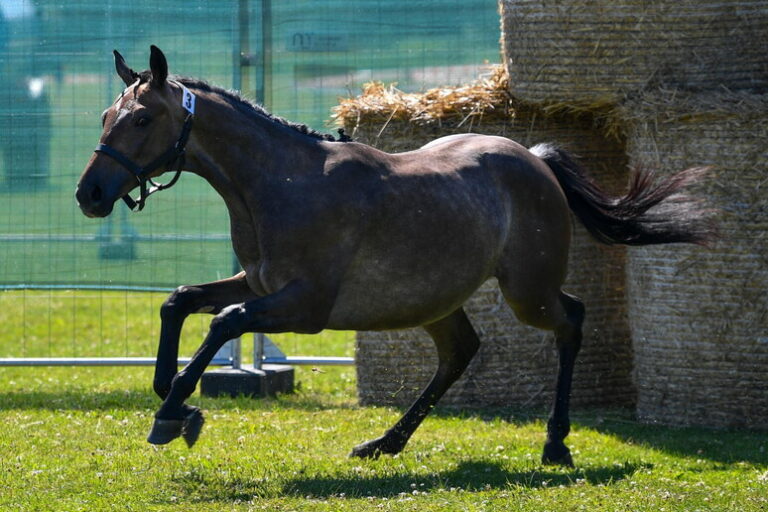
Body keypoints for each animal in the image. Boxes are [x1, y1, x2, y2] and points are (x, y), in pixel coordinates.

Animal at [75, 46, 713, 466]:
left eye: (142, 117)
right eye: (105, 116)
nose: (90, 194)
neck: (280, 184)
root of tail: (534, 157)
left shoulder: (305, 306)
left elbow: (223, 323)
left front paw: (174, 413)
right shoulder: (258, 284)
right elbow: (179, 302)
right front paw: (174, 399)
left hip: (526, 291)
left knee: (571, 319)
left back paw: (556, 443)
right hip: (435, 302)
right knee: (460, 352)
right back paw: (386, 441)